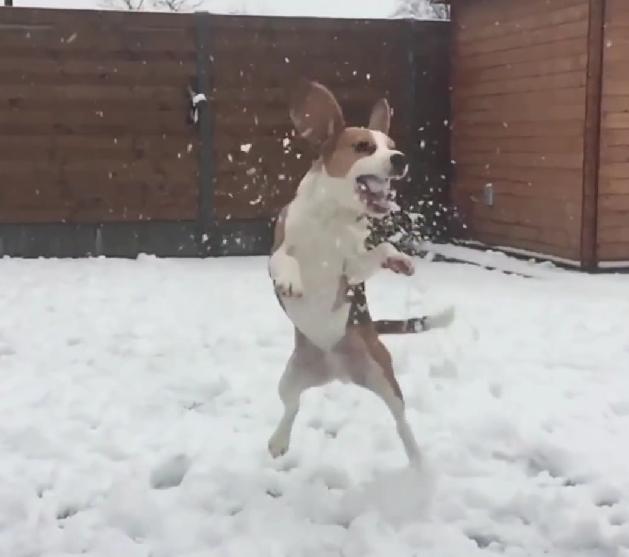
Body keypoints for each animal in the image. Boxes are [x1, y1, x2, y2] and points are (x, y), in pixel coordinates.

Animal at [266, 79, 452, 464]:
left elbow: (379, 251)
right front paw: (290, 280)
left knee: (401, 422)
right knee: (292, 407)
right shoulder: (278, 249)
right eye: (363, 146)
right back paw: (279, 441)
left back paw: (418, 463)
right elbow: (284, 261)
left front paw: (399, 260)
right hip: (290, 379)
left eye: (392, 146)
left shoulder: (350, 271)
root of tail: (337, 371)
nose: (400, 159)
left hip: (383, 375)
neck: (332, 218)